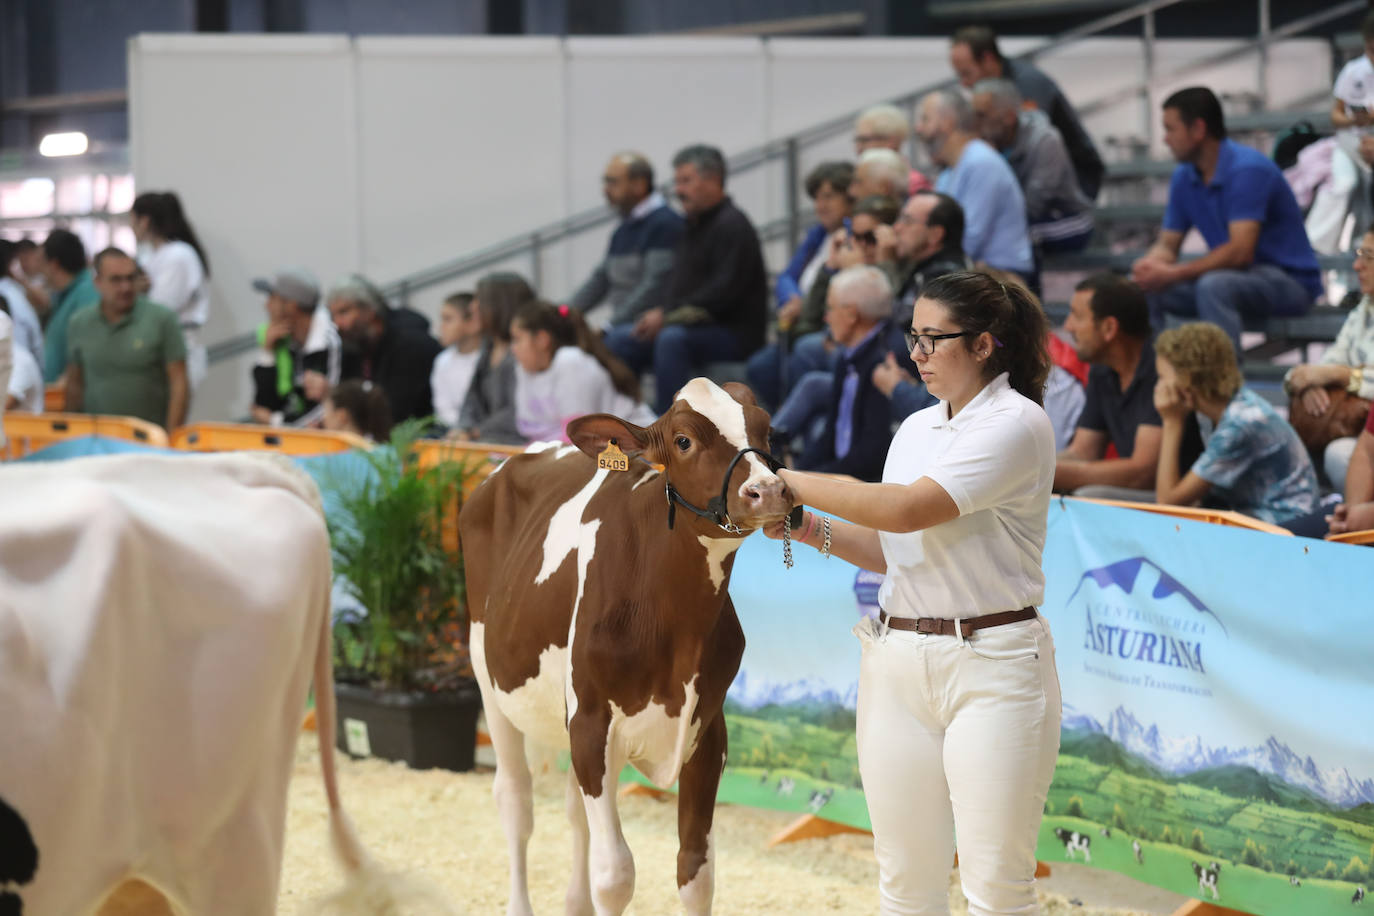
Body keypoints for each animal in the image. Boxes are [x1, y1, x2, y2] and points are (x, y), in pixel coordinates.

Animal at [461, 376, 796, 911]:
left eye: (765, 429)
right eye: (683, 440)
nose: (768, 490)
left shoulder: (708, 733)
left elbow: (695, 871)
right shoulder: (591, 724)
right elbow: (615, 874)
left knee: (574, 812)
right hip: (490, 680)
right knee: (515, 800)